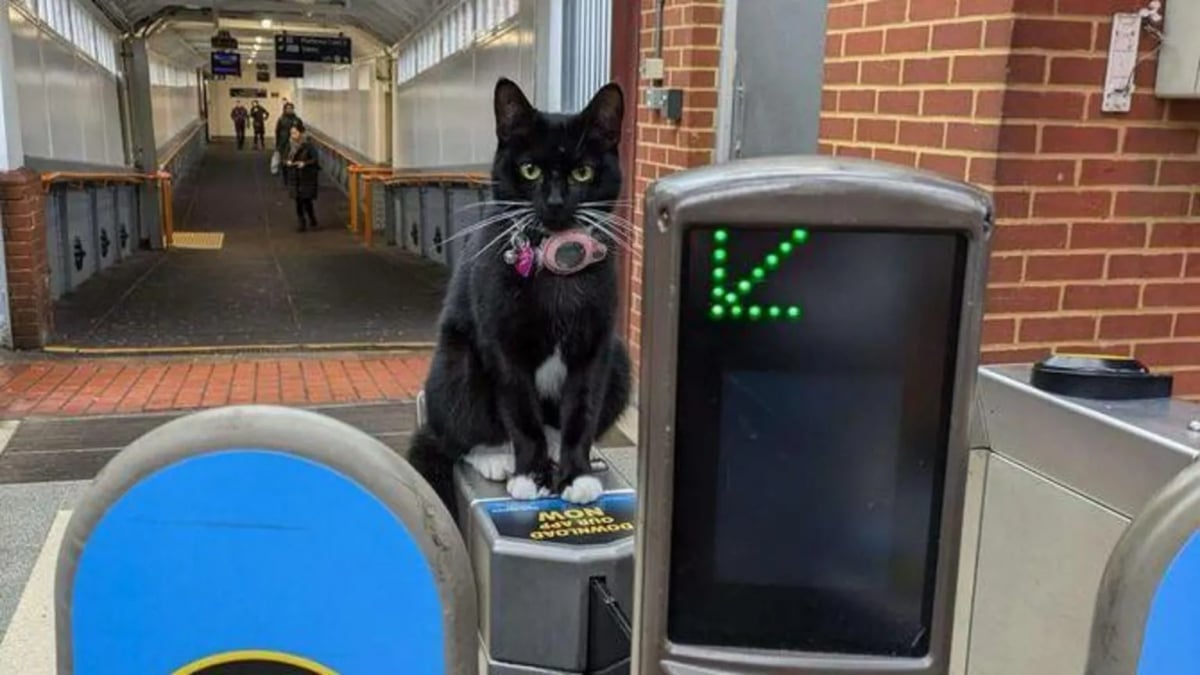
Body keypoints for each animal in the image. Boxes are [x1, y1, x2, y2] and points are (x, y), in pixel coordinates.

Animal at [408, 78, 633, 506]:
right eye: (530, 169)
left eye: (583, 172)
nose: (556, 202)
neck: (556, 265)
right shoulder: (501, 341)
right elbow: (520, 410)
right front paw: (530, 474)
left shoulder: (596, 343)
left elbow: (583, 408)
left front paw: (576, 473)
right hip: (455, 363)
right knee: (456, 433)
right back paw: (496, 456)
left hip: (620, 359)